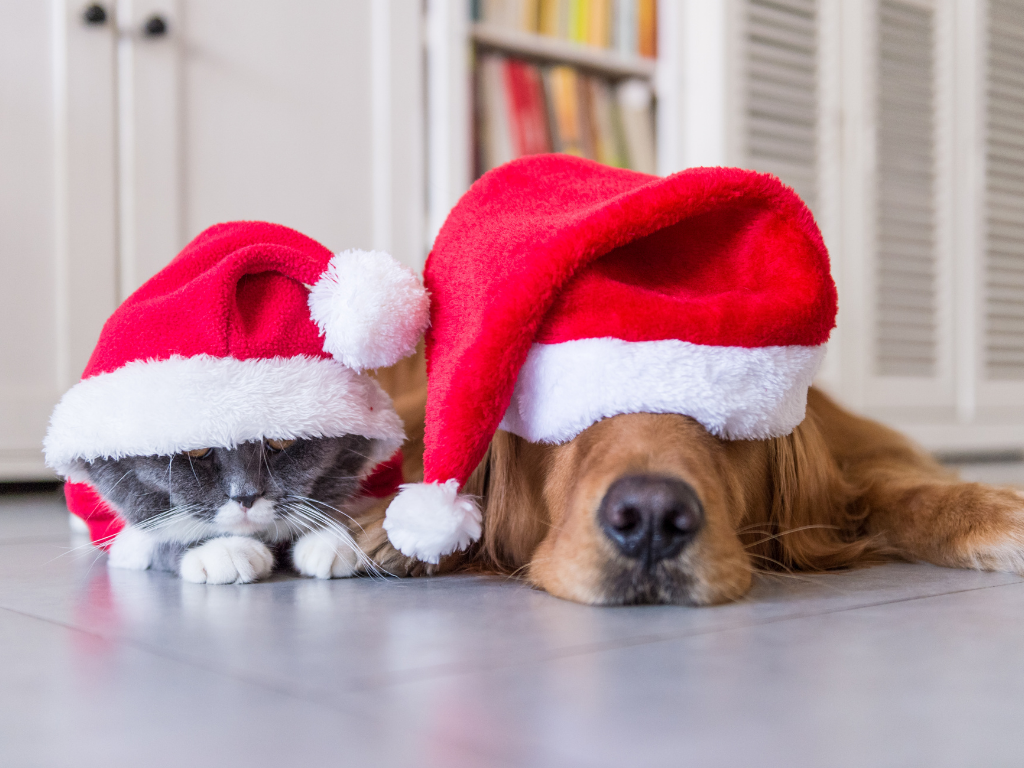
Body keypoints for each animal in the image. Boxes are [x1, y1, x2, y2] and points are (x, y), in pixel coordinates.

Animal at [86, 436, 382, 585]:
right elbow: (164, 537)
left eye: (281, 441)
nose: (245, 496)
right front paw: (225, 550)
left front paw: (328, 539)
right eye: (196, 449)